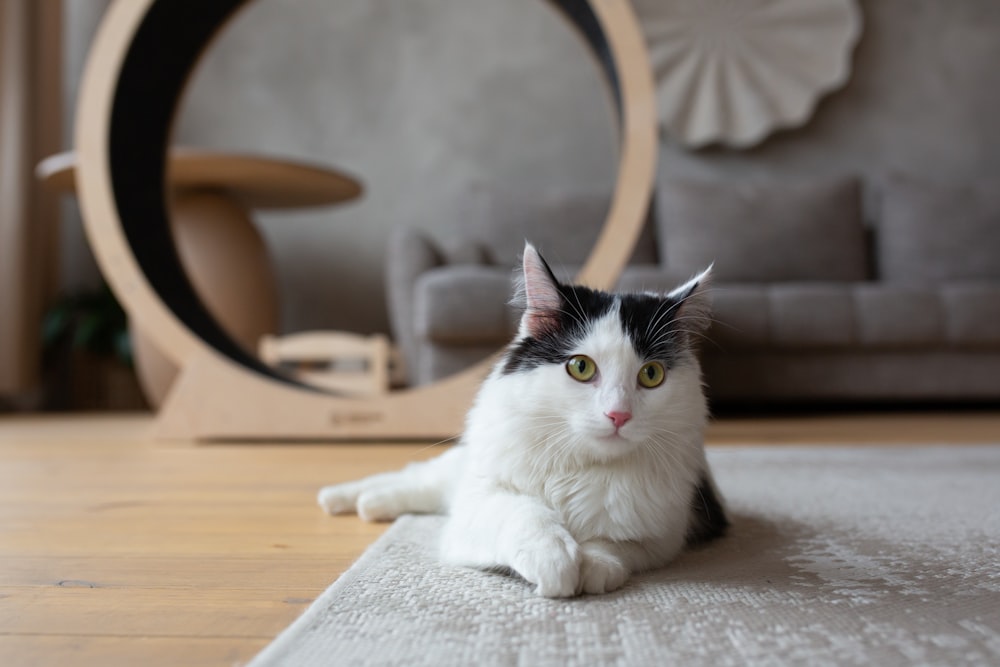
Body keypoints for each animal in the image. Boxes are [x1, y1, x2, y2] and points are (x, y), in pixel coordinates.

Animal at [320, 243, 728, 596]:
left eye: (651, 375)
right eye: (581, 367)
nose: (618, 414)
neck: (582, 467)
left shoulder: (663, 536)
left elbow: (612, 544)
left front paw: (592, 565)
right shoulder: (478, 506)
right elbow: (522, 511)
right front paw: (554, 558)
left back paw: (371, 504)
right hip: (465, 473)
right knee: (415, 477)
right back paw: (342, 498)